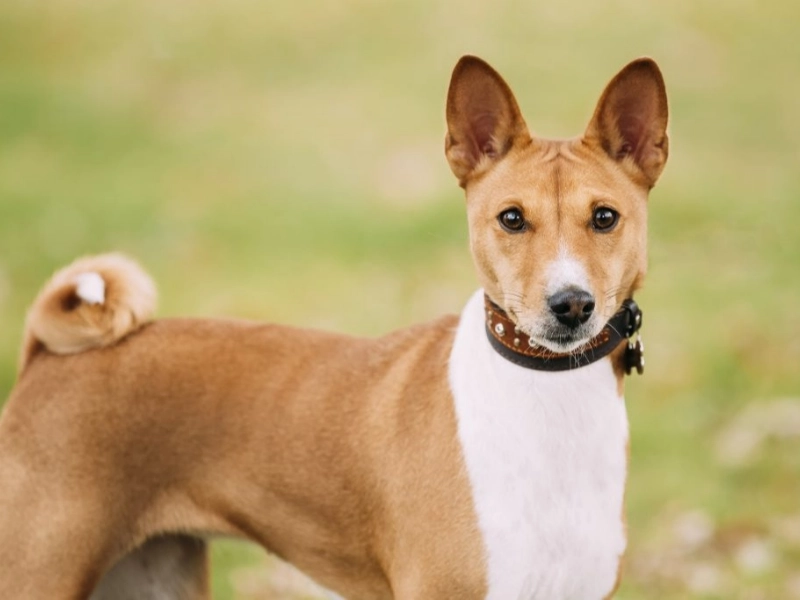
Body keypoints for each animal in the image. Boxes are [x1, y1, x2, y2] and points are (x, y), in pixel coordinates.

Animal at [0, 55, 668, 599]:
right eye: (511, 219)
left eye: (604, 217)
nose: (571, 304)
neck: (549, 400)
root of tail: (44, 358)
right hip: (38, 572)